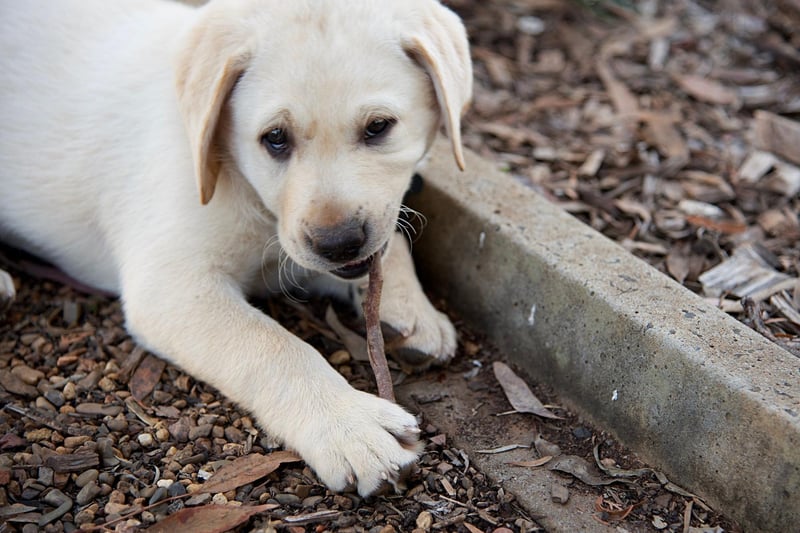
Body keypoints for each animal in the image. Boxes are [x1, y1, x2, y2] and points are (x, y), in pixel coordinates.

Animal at [0, 0, 468, 494]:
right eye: (275, 138)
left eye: (379, 127)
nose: (338, 243)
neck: (240, 181)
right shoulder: (173, 288)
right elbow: (274, 347)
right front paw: (350, 425)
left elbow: (390, 243)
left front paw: (409, 309)